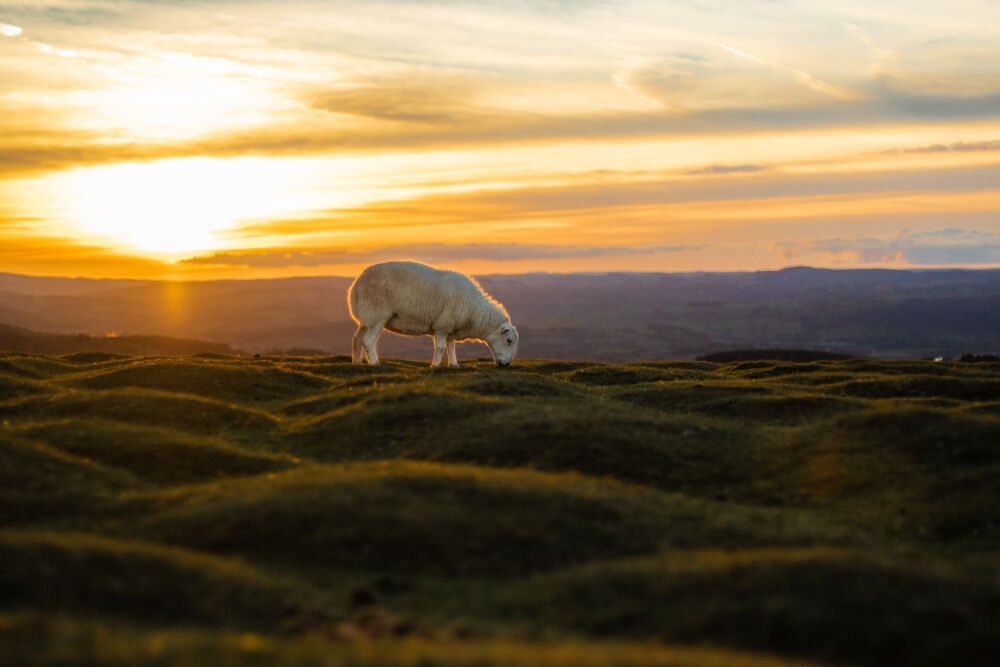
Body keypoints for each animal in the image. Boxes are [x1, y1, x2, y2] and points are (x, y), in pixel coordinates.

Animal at [348, 260, 520, 368]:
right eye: (509, 341)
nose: (506, 365)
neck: (474, 311)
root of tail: (356, 285)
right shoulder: (442, 326)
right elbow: (440, 348)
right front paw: (435, 365)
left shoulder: (450, 327)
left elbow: (451, 346)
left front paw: (454, 364)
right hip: (377, 315)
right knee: (368, 341)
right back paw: (375, 363)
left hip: (366, 318)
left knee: (356, 339)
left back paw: (356, 363)